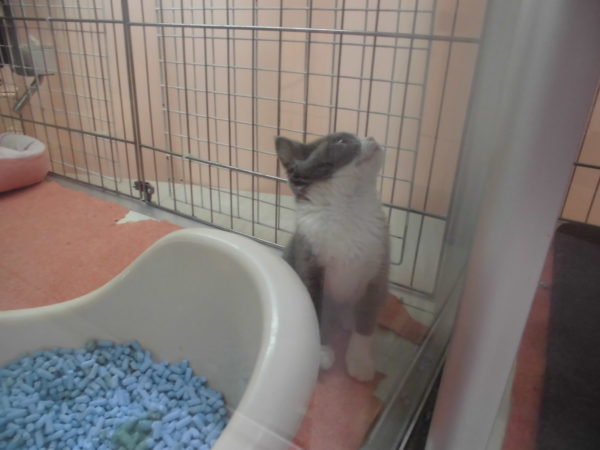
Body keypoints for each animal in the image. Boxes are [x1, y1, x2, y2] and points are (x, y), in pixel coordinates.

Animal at [275, 132, 390, 382]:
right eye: (341, 141)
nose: (372, 136)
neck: (347, 208)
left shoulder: (378, 271)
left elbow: (366, 318)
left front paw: (359, 361)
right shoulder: (309, 266)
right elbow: (316, 311)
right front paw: (321, 353)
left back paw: (348, 318)